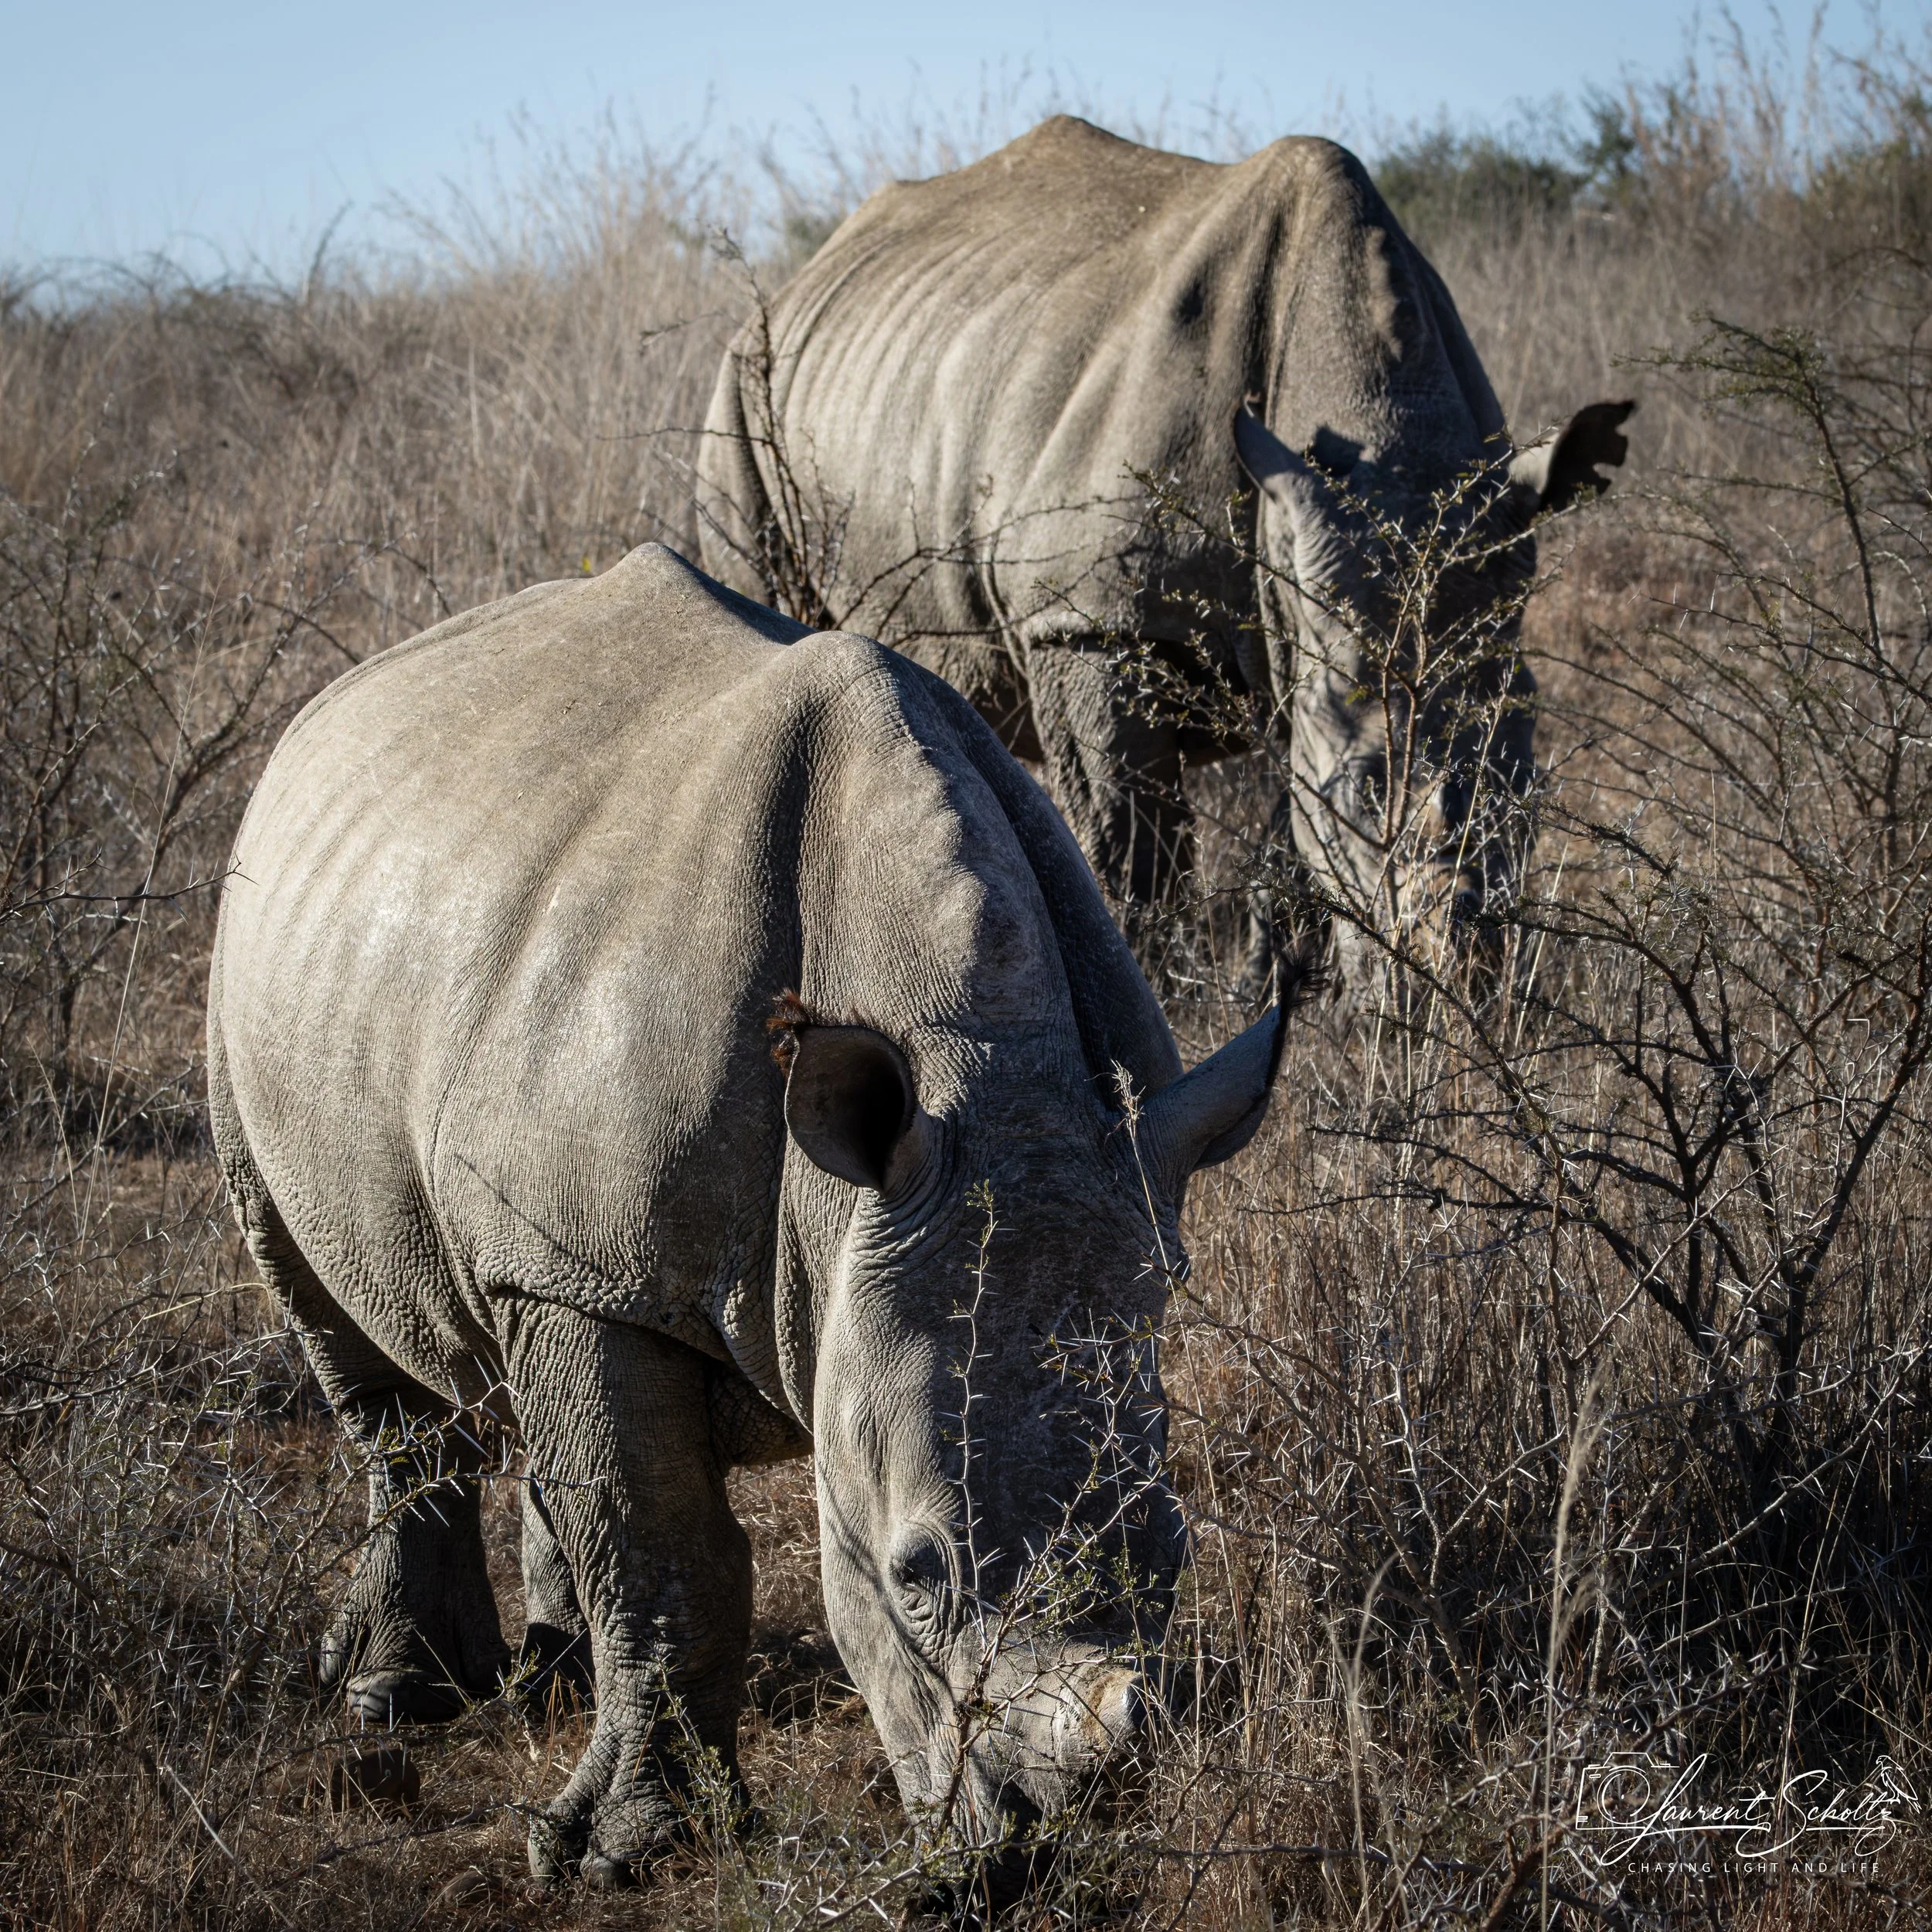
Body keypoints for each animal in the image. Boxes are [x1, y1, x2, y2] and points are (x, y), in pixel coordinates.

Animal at [207, 544, 1290, 1890]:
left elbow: (628, 1506)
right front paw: (618, 1857)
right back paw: (398, 1702)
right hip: (254, 964)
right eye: (914, 1575)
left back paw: (546, 1676)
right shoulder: (585, 1268)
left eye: (1180, 1545)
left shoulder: (604, 1256)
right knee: (350, 1336)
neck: (981, 1069)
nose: (1048, 1844)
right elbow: (665, 1552)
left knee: (537, 1398)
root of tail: (334, 703)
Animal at [697, 116, 1631, 981]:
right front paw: (1159, 992)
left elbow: (1288, 841)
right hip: (741, 389)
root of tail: (807, 272)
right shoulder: (1089, 620)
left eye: (1534, 776)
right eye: (1364, 789)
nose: (1467, 974)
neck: (1385, 434)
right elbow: (1130, 843)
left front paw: (1281, 992)